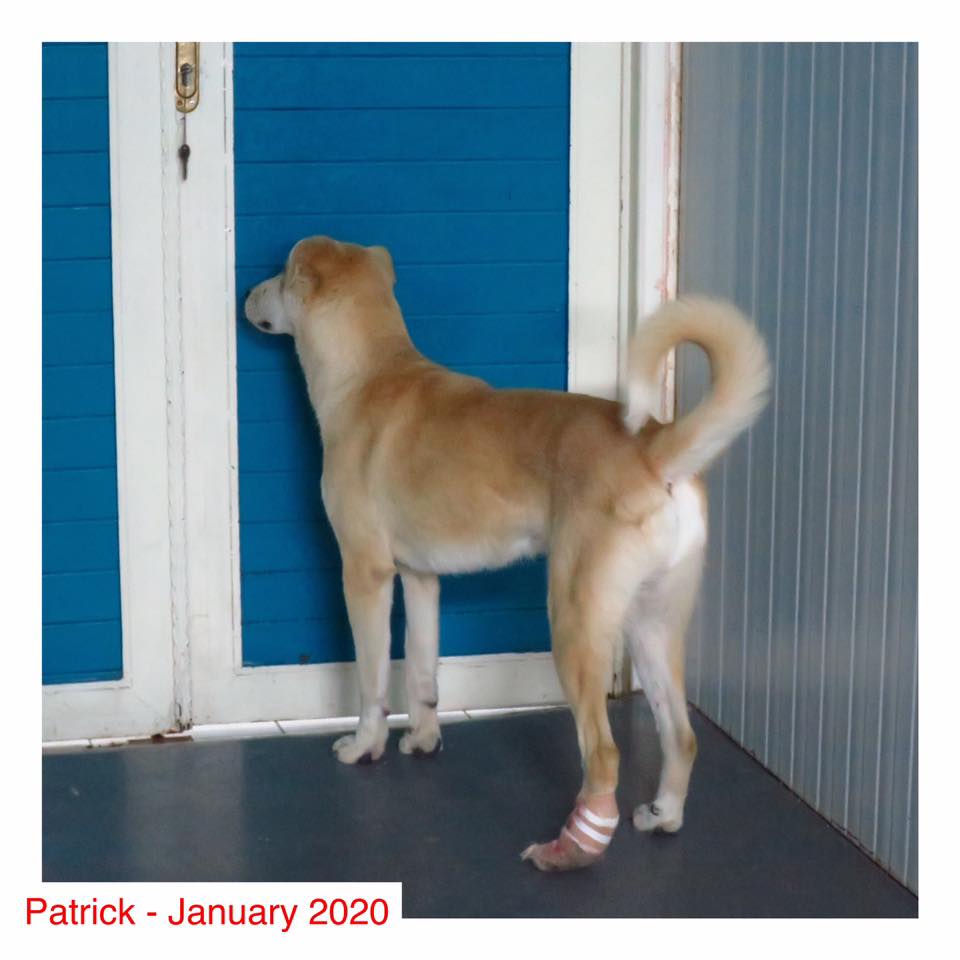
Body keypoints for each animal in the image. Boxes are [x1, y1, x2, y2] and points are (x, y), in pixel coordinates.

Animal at [244, 234, 768, 872]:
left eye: (279, 275)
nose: (246, 295)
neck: (370, 374)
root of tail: (654, 448)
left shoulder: (364, 574)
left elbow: (372, 679)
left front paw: (364, 746)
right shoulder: (421, 578)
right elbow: (422, 669)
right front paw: (423, 740)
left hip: (574, 620)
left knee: (604, 753)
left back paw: (573, 848)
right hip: (652, 623)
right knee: (680, 735)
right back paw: (663, 814)